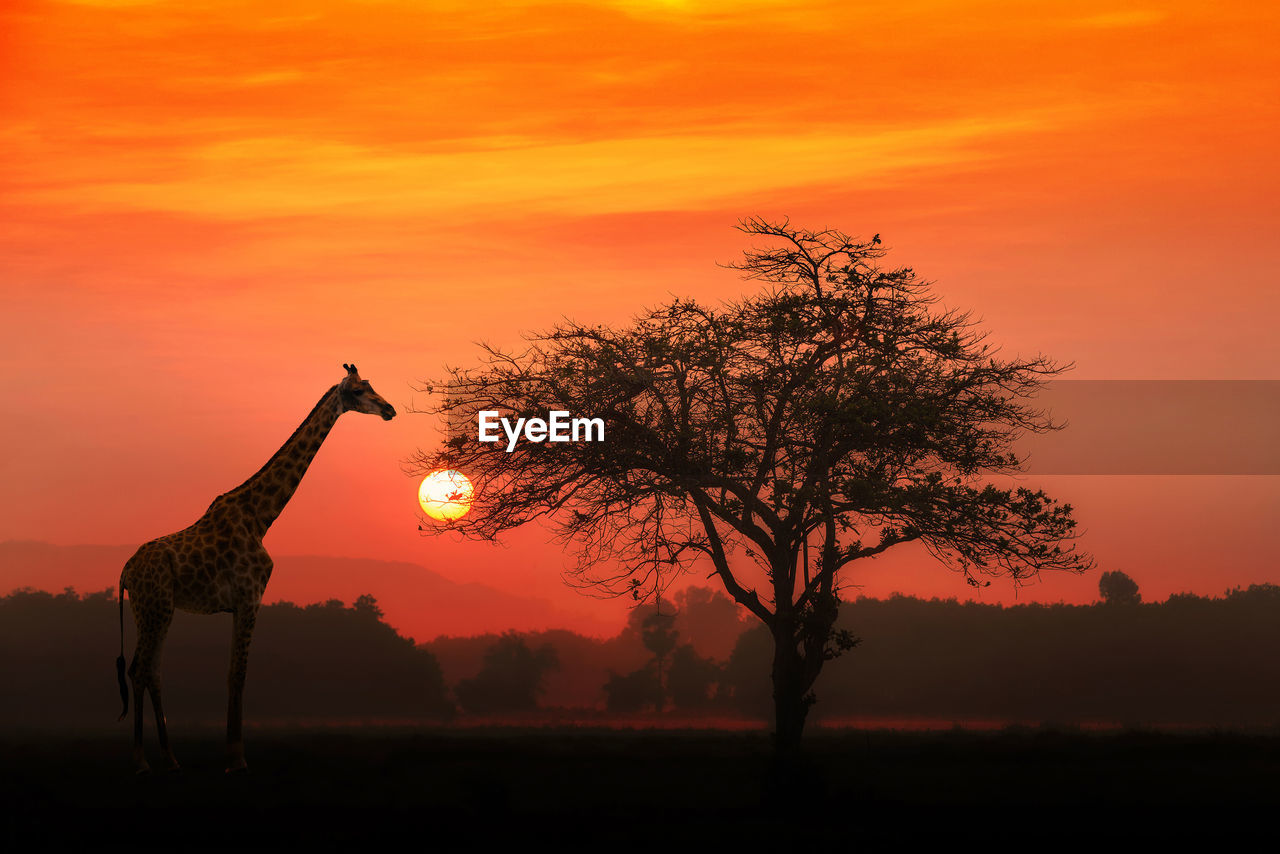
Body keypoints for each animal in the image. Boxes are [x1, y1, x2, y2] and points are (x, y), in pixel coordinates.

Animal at [114, 363, 394, 773]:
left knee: (151, 670)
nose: (390, 410)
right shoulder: (250, 597)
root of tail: (125, 572)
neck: (262, 516)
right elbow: (238, 674)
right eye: (358, 392)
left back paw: (170, 758)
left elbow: (233, 672)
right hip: (155, 607)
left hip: (154, 609)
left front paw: (232, 756)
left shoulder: (240, 603)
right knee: (140, 669)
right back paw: (140, 762)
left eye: (371, 385)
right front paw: (237, 759)